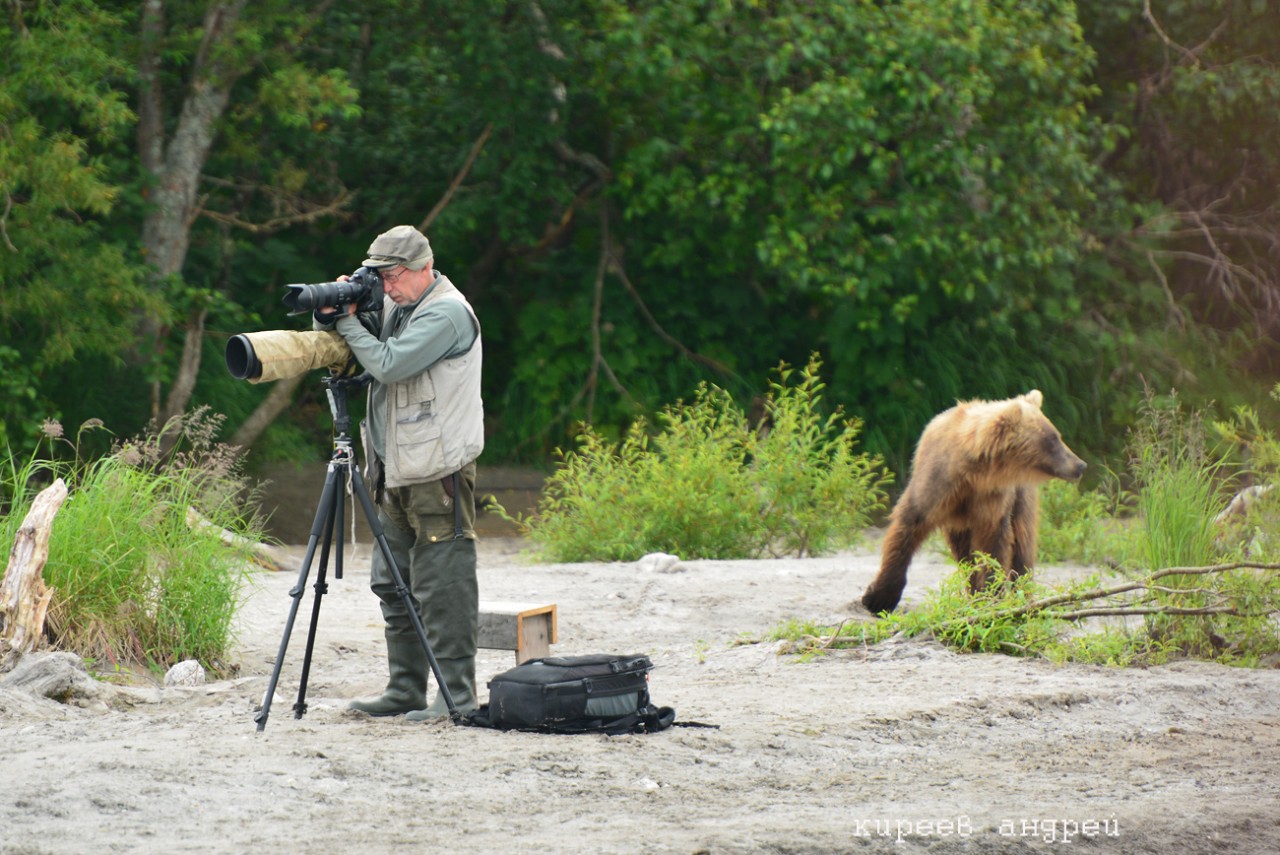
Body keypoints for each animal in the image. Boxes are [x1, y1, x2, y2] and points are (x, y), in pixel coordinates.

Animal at [865, 386, 1085, 614]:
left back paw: (1022, 597)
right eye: (1053, 439)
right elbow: (907, 528)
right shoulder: (936, 484)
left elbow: (993, 546)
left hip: (1021, 497)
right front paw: (879, 598)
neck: (973, 473)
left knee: (1023, 542)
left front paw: (992, 595)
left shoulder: (992, 499)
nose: (1080, 465)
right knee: (964, 553)